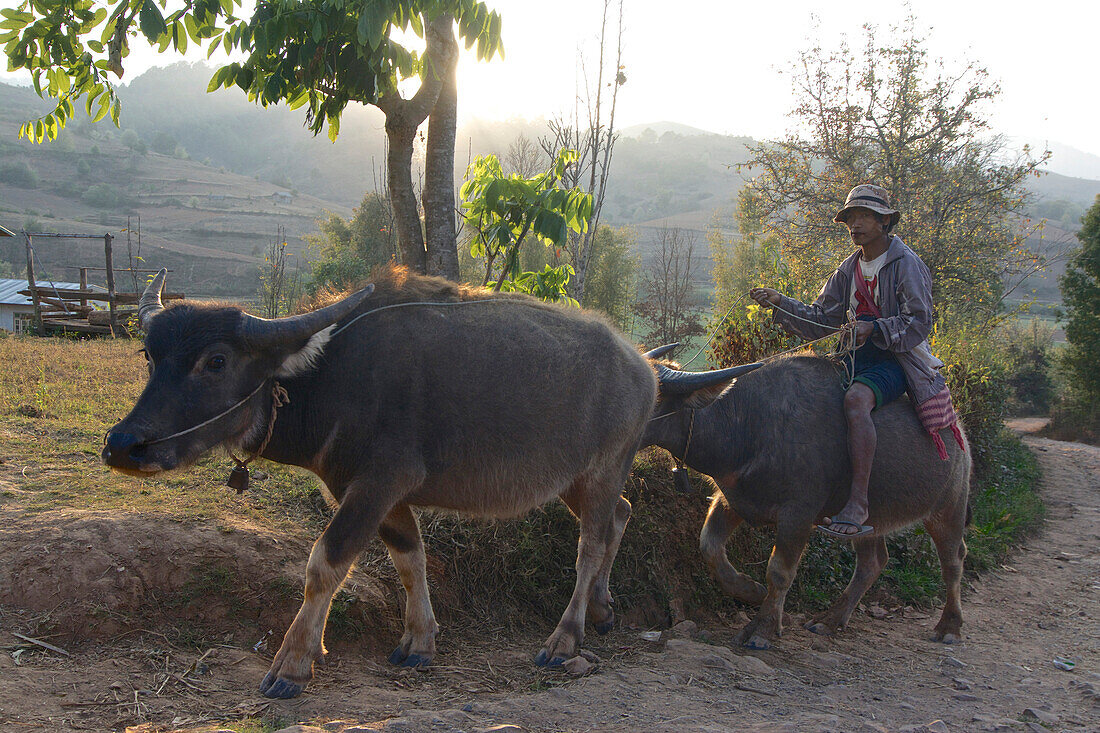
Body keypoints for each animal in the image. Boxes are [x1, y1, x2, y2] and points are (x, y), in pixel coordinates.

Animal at [103, 264, 752, 695]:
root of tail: (645, 369)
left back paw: (564, 639)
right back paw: (603, 609)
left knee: (591, 544)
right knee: (620, 516)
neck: (332, 375)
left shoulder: (378, 482)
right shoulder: (374, 490)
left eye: (215, 361)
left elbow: (325, 563)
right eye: (149, 356)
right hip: (576, 479)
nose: (125, 445)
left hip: (606, 464)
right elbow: (408, 557)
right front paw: (419, 641)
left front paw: (291, 663)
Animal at [642, 347, 972, 647]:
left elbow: (779, 571)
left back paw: (949, 626)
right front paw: (750, 591)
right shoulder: (731, 500)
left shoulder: (798, 514)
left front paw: (762, 629)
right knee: (873, 561)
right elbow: (709, 547)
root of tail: (959, 434)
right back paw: (830, 620)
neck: (746, 425)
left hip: (949, 508)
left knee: (953, 560)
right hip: (872, 519)